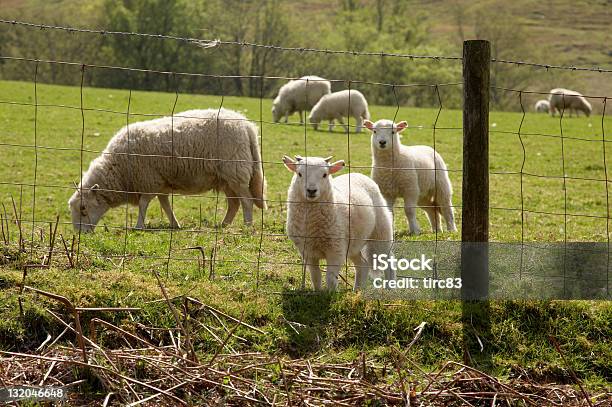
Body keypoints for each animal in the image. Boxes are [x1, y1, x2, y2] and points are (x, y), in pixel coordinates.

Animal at [68, 108, 266, 234]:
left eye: (84, 209)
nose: (80, 234)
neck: (119, 169)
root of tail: (247, 126)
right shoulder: (161, 183)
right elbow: (165, 204)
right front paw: (174, 224)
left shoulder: (149, 180)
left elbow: (144, 204)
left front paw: (139, 226)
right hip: (226, 178)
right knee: (234, 203)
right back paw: (223, 225)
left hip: (236, 171)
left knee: (246, 201)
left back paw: (247, 226)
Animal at [280, 155, 392, 292]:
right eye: (299, 174)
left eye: (325, 175)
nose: (311, 190)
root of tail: (358, 174)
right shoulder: (308, 252)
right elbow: (315, 275)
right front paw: (318, 292)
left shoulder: (336, 250)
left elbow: (330, 277)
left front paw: (331, 293)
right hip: (352, 244)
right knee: (362, 265)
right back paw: (357, 290)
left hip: (381, 233)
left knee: (388, 263)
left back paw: (390, 288)